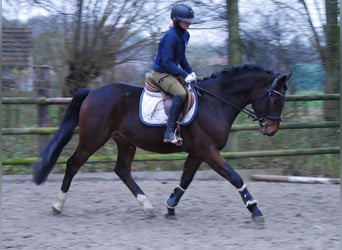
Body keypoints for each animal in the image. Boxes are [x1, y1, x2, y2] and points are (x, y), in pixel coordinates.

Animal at [32, 64, 290, 223]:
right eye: (275, 99)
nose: (271, 129)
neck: (216, 102)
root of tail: (93, 92)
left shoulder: (198, 152)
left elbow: (186, 178)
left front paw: (171, 204)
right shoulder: (208, 151)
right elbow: (235, 177)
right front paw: (254, 209)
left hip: (125, 141)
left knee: (122, 170)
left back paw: (147, 205)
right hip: (93, 139)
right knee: (73, 164)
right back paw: (58, 205)